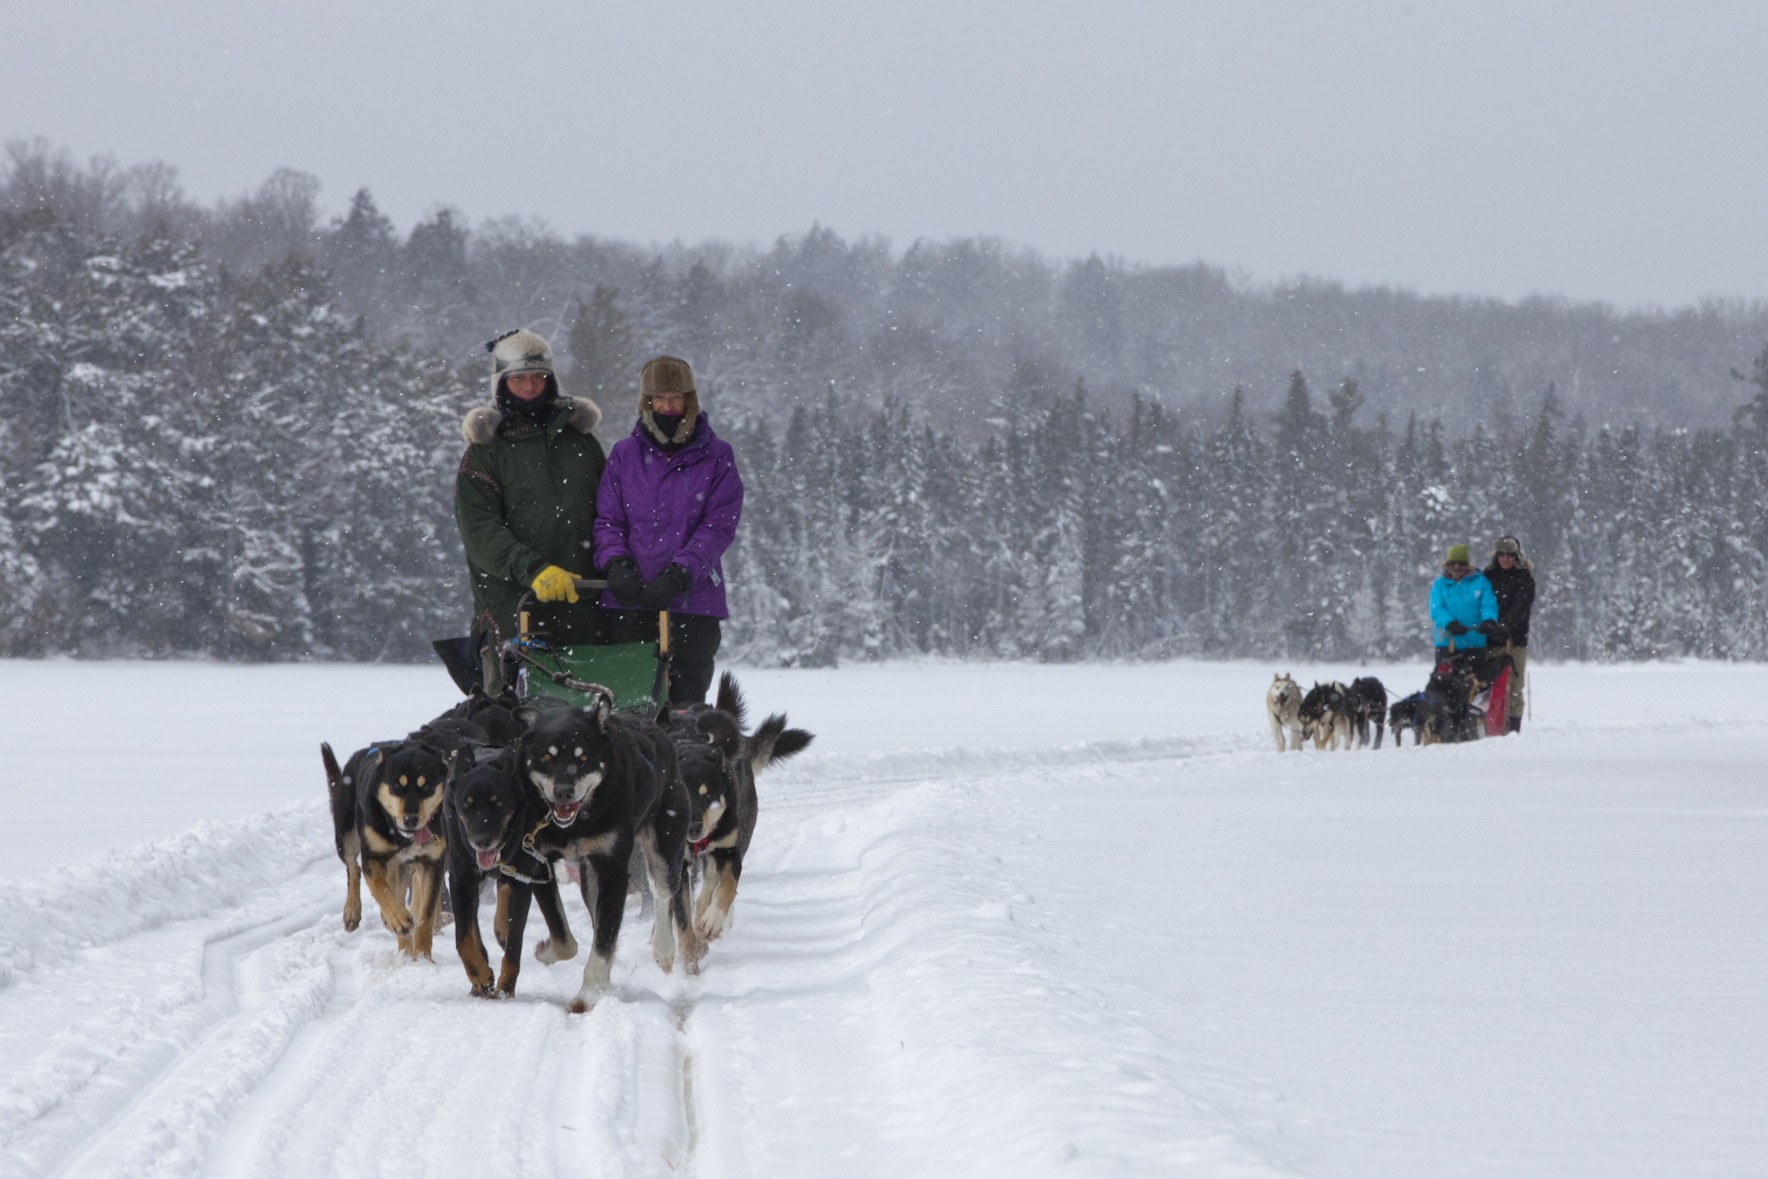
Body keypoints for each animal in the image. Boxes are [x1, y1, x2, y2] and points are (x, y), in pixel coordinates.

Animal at [516, 692, 700, 1018]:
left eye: (583, 758)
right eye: (547, 757)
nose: (564, 792)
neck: (576, 825)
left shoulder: (614, 872)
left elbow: (603, 942)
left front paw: (587, 996)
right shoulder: (537, 863)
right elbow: (567, 939)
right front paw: (547, 952)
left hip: (666, 846)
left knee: (663, 892)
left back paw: (663, 949)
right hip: (590, 879)